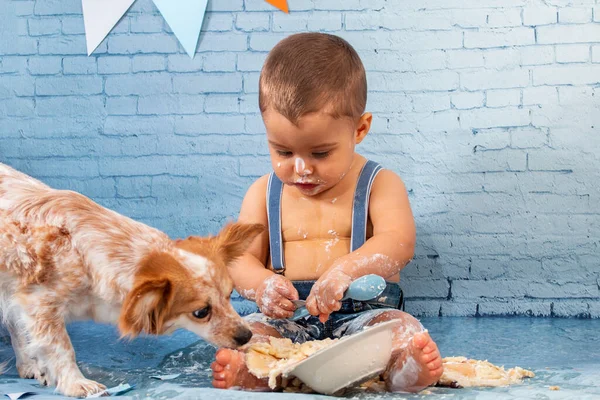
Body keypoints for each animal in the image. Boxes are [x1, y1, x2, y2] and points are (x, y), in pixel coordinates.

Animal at [0, 162, 262, 396]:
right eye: (201, 312)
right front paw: (75, 383)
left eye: (229, 295)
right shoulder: (40, 304)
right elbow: (61, 347)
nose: (246, 335)